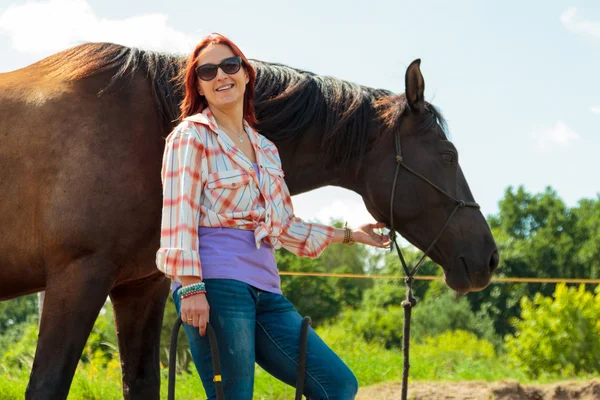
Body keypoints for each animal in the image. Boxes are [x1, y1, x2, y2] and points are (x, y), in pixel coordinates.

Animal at [0, 42, 496, 398]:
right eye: (448, 155)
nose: (489, 259)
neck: (144, 124)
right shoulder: (77, 278)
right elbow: (46, 386)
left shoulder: (140, 287)